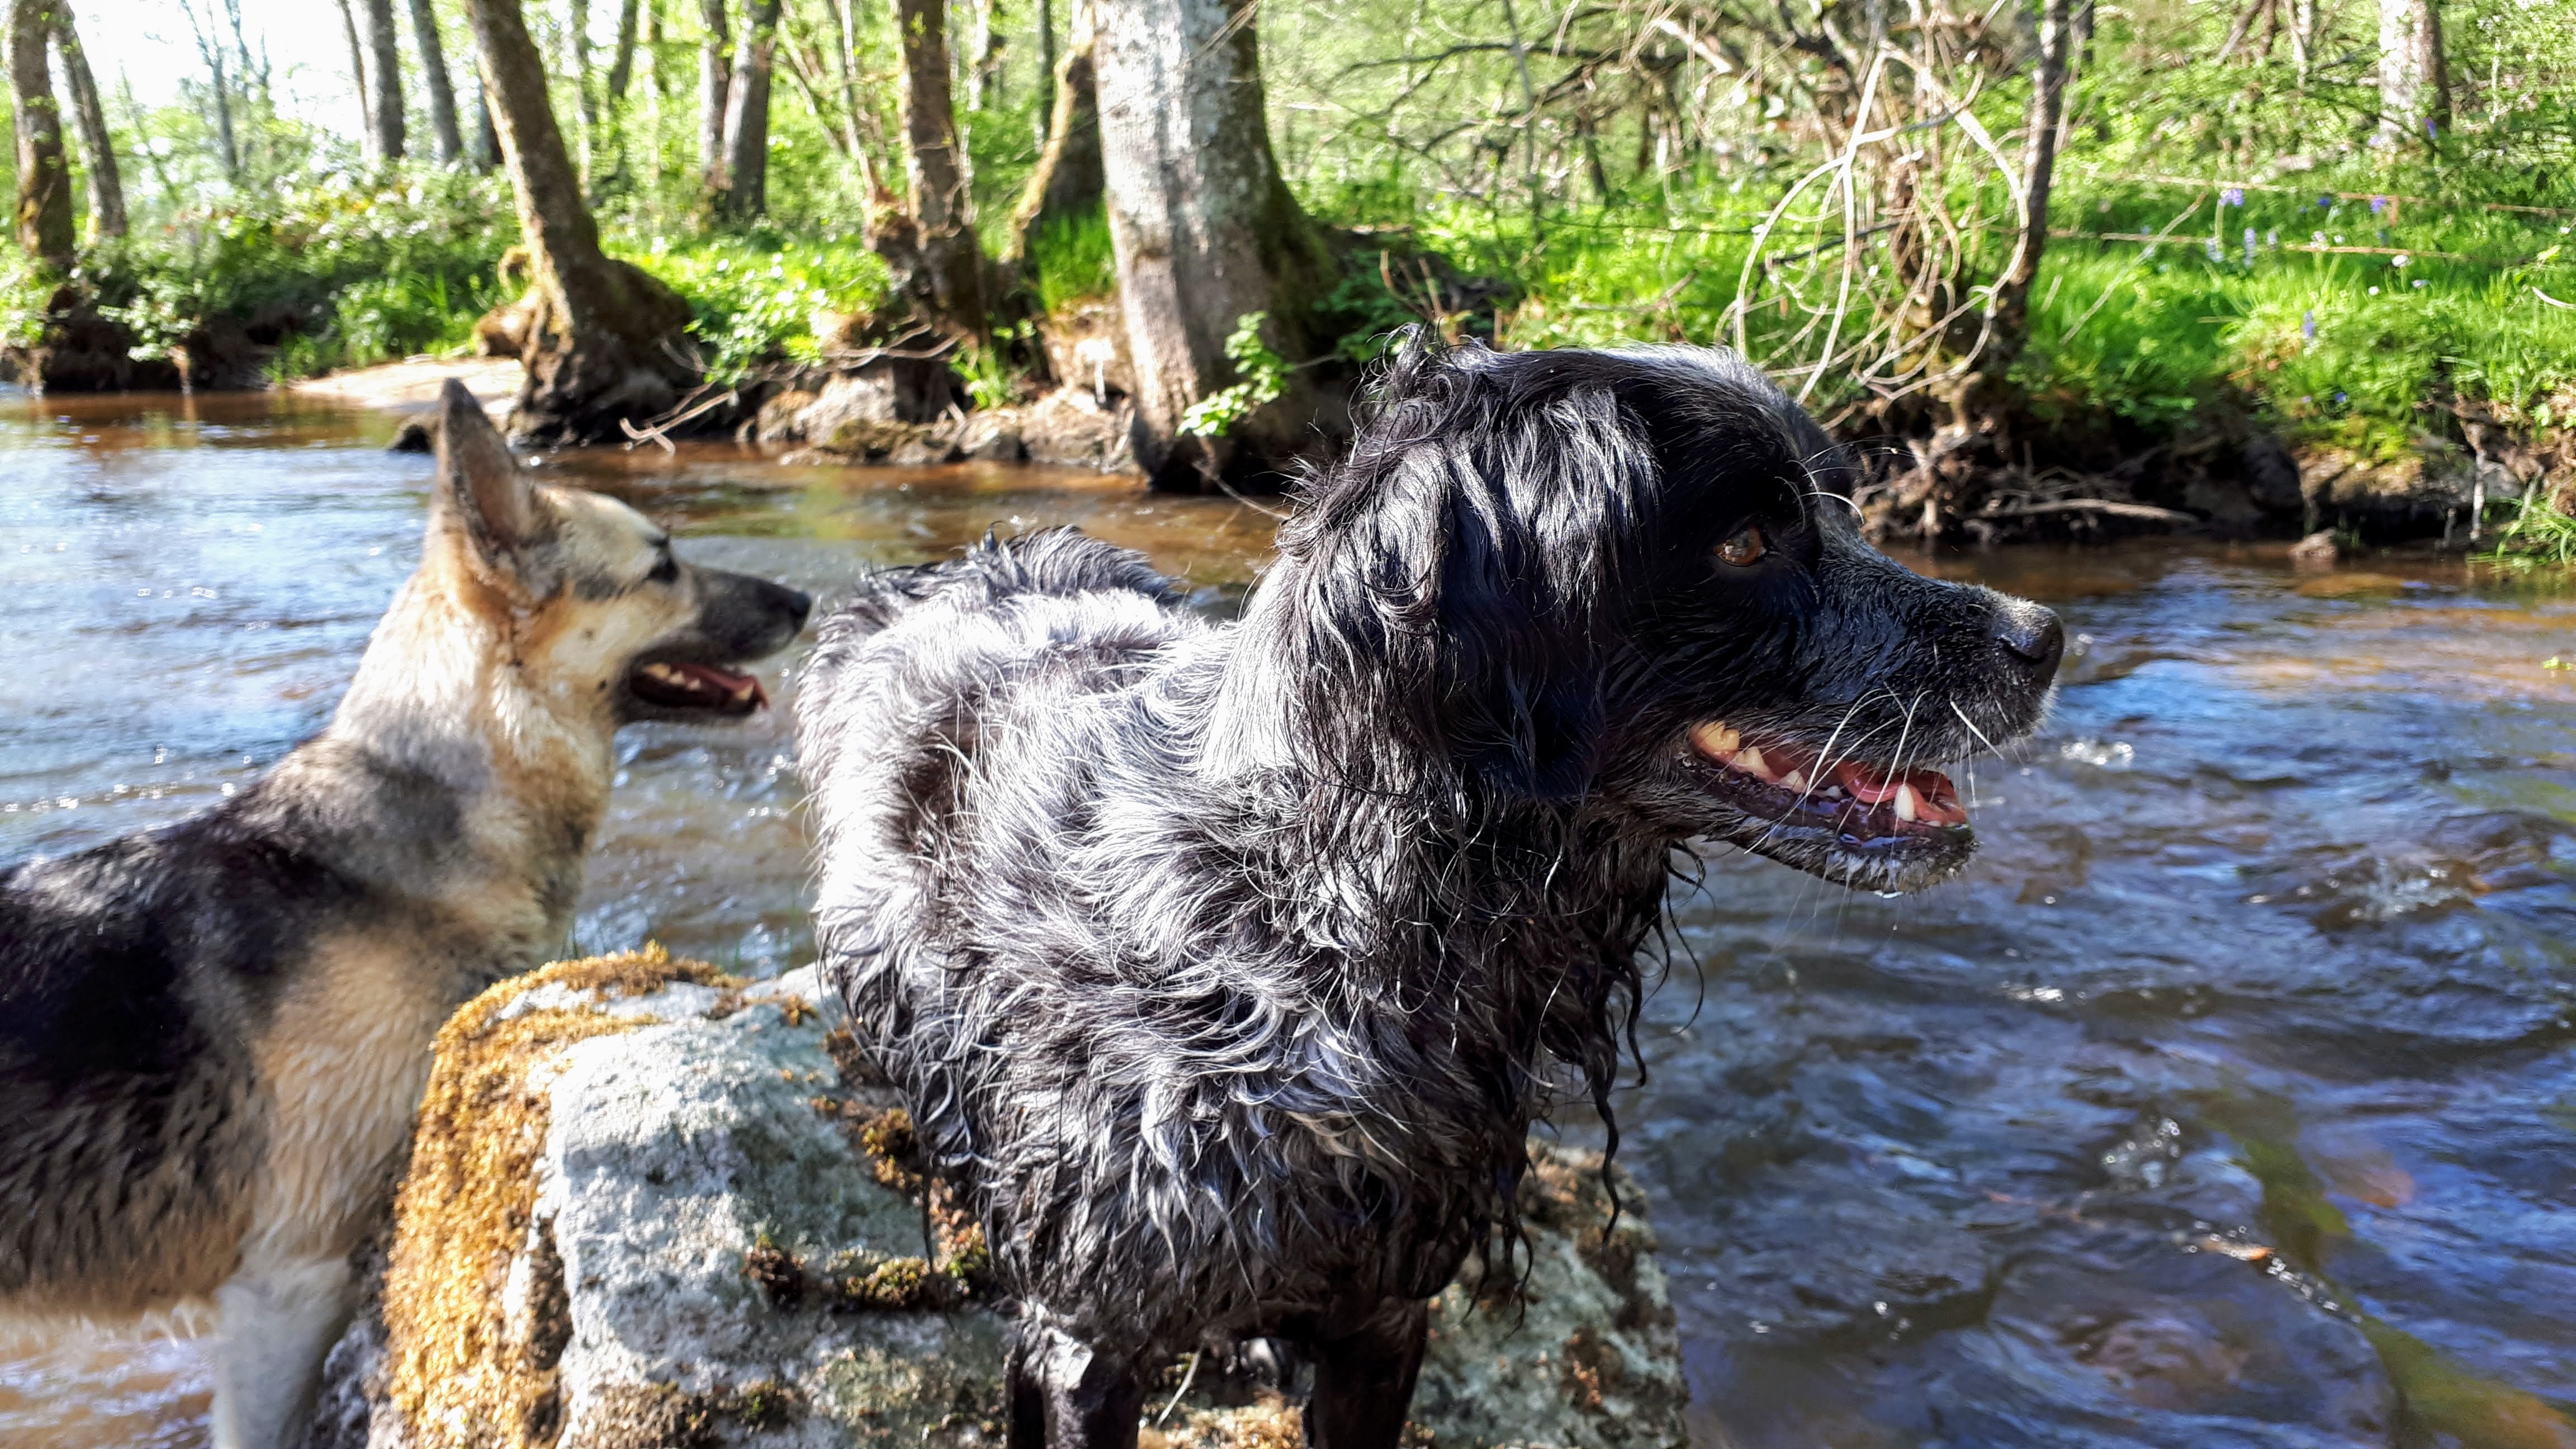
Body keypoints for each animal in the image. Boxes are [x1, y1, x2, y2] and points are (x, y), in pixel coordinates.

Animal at [793, 335, 2061, 1433]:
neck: (1318, 925)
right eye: (1749, 543)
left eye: (1838, 506)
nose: (2044, 637)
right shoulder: (1083, 1336)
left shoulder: (1386, 1310)